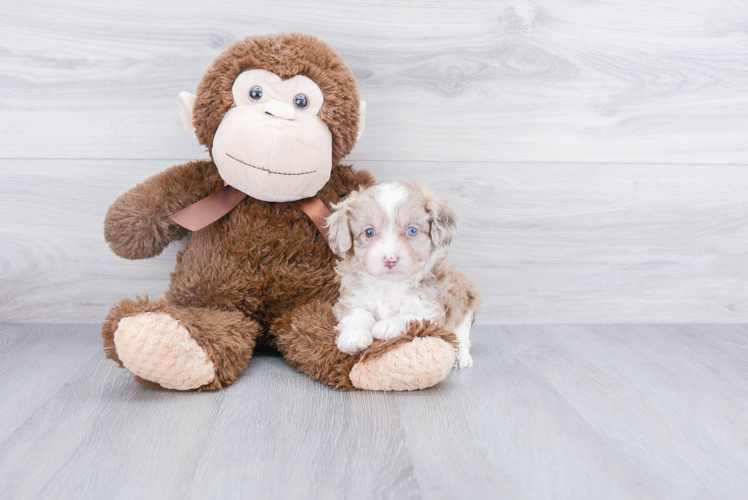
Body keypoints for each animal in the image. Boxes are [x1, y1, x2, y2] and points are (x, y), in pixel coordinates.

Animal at [326, 181, 480, 368]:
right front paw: (353, 336)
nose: (389, 259)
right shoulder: (351, 298)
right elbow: (359, 313)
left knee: (461, 332)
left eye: (412, 231)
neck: (391, 284)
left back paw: (462, 355)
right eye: (369, 232)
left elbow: (413, 317)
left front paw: (386, 325)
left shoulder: (435, 308)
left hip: (465, 298)